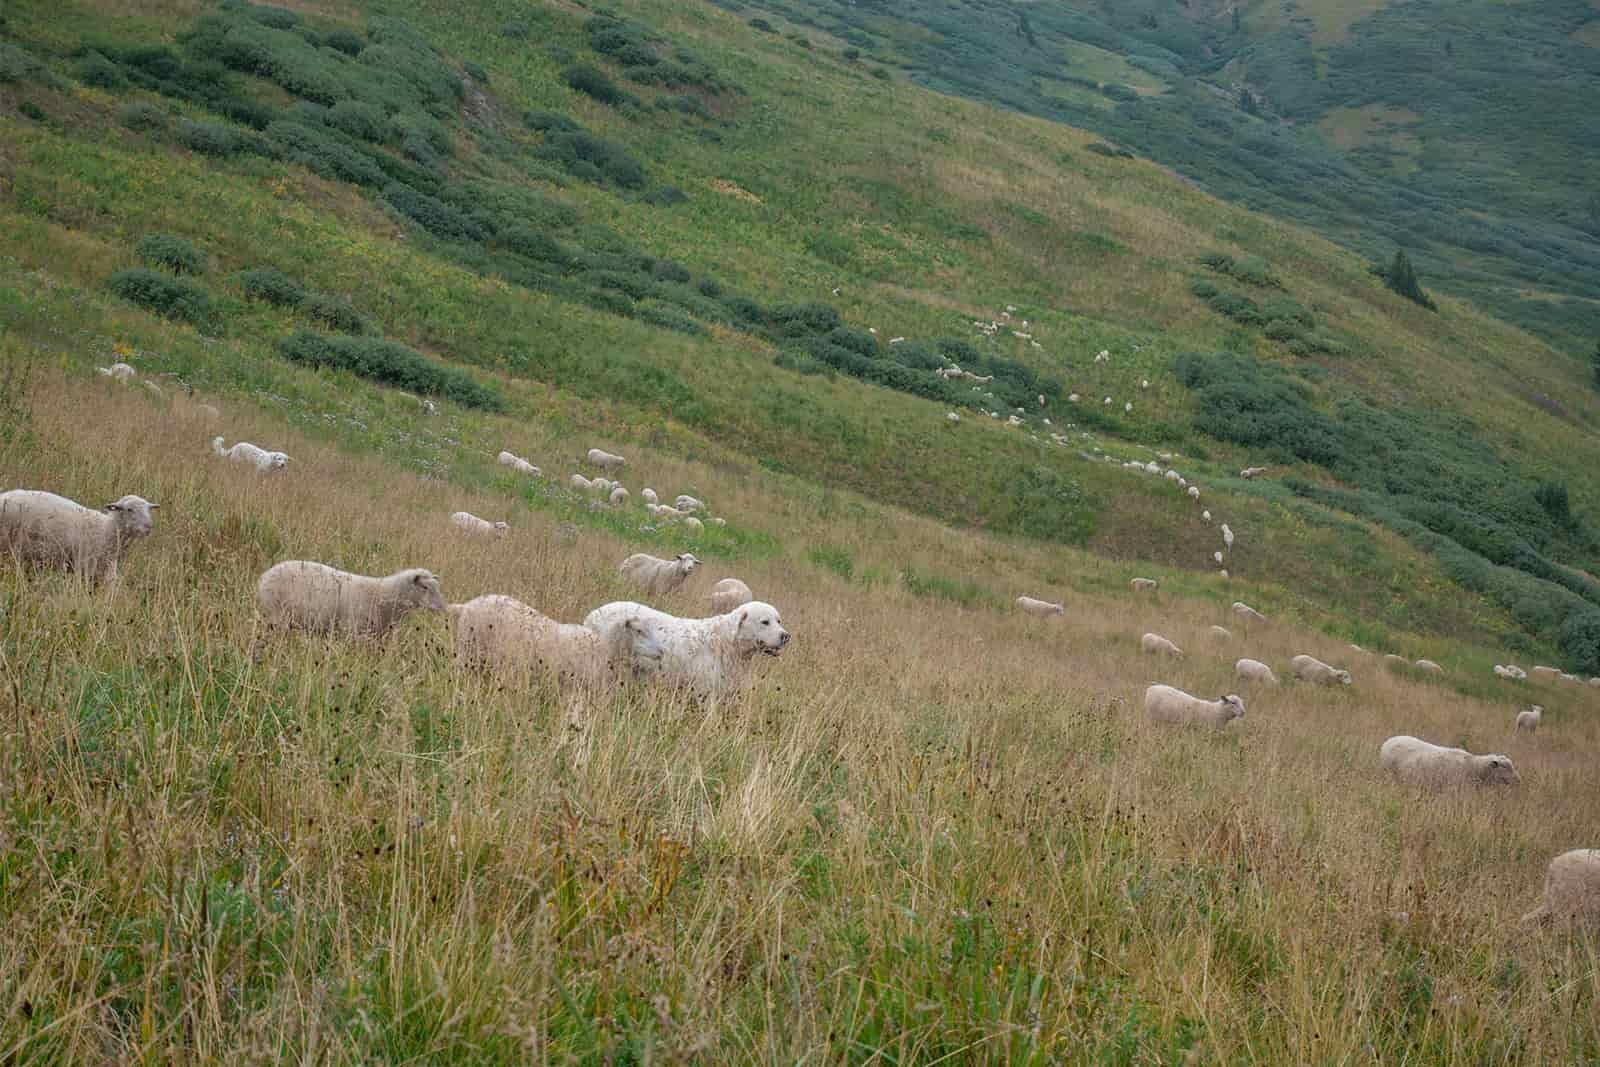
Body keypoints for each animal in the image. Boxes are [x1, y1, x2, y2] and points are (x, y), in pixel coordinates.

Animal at [0, 489, 157, 585]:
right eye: (130, 509)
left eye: (148, 510)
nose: (149, 527)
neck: (106, 530)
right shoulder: (85, 565)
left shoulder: (106, 569)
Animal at [584, 600, 790, 696]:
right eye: (765, 622)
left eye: (779, 621)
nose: (786, 636)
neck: (724, 642)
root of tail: (592, 615)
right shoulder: (705, 692)